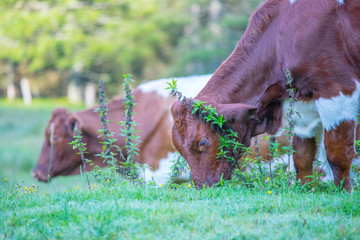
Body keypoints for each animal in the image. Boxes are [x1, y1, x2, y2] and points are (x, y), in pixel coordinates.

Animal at [172, 0, 360, 191]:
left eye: (202, 142)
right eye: (179, 148)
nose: (204, 186)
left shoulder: (338, 89)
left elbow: (338, 157)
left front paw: (343, 194)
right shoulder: (302, 104)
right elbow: (302, 159)